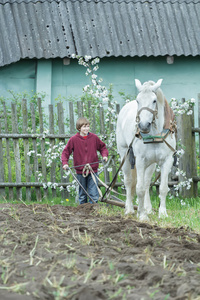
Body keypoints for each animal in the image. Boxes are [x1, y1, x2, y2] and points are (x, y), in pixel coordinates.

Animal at [116, 79, 176, 220]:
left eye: (154, 100)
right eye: (138, 100)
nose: (143, 125)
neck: (154, 136)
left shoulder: (167, 161)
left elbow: (163, 188)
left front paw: (162, 213)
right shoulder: (140, 161)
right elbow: (140, 188)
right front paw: (142, 216)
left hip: (151, 164)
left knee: (147, 182)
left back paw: (147, 209)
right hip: (124, 155)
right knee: (129, 181)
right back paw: (130, 209)